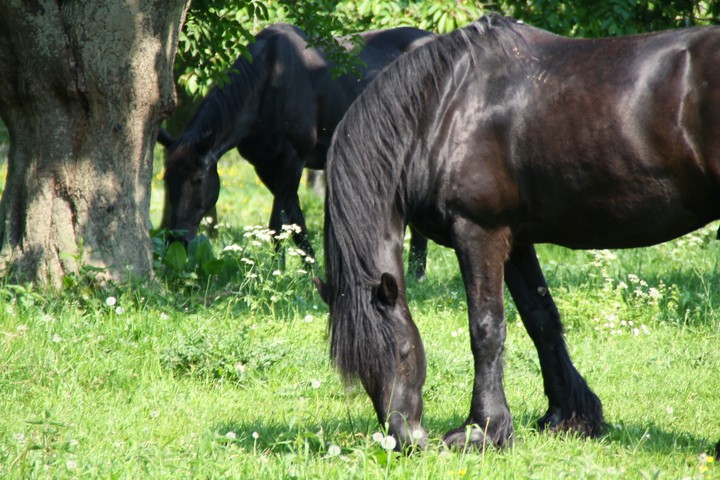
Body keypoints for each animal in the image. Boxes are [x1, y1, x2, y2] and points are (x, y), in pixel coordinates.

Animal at [158, 23, 434, 277]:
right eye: (167, 180)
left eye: (198, 179)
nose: (176, 240)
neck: (268, 80)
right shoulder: (266, 167)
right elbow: (296, 220)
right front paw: (310, 268)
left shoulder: (292, 159)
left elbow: (277, 224)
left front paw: (276, 271)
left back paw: (416, 273)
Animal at [315, 13, 720, 451]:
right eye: (362, 370)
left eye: (404, 353)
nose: (406, 440)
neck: (443, 107)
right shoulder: (517, 241)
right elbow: (541, 319)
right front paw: (569, 415)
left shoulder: (479, 232)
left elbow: (486, 328)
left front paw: (483, 429)